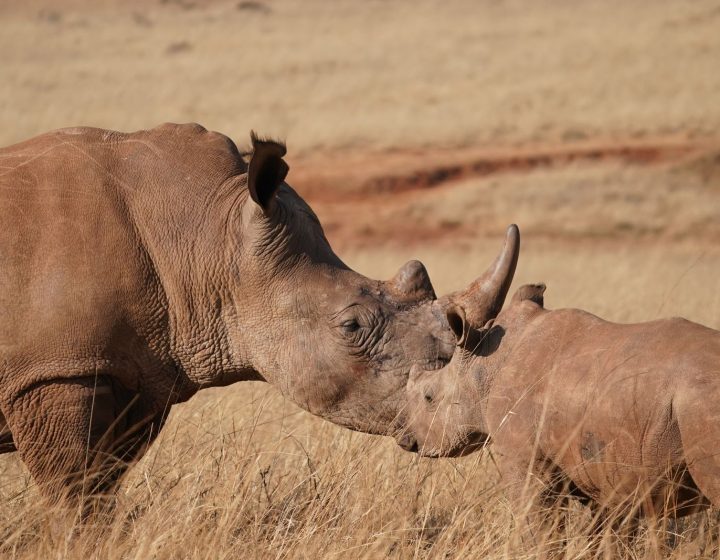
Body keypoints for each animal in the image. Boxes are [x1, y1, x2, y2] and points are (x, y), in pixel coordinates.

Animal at [0, 123, 517, 503]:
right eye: (351, 326)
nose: (463, 402)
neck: (208, 234)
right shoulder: (57, 369)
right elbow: (76, 497)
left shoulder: (135, 373)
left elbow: (103, 487)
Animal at [401, 254, 720, 537]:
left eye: (429, 398)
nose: (408, 441)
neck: (485, 365)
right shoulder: (608, 474)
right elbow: (607, 536)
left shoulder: (525, 459)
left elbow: (538, 529)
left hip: (703, 402)